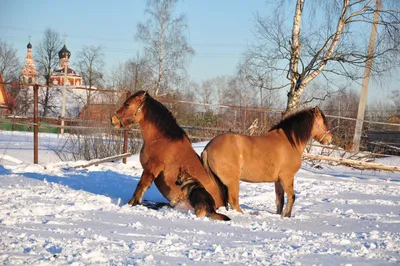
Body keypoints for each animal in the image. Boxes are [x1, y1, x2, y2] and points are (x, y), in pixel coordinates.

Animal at [202, 107, 332, 217]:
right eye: (323, 122)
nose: (330, 139)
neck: (290, 142)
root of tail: (207, 148)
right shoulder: (287, 177)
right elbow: (292, 197)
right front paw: (286, 216)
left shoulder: (278, 181)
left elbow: (280, 200)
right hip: (232, 181)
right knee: (233, 201)